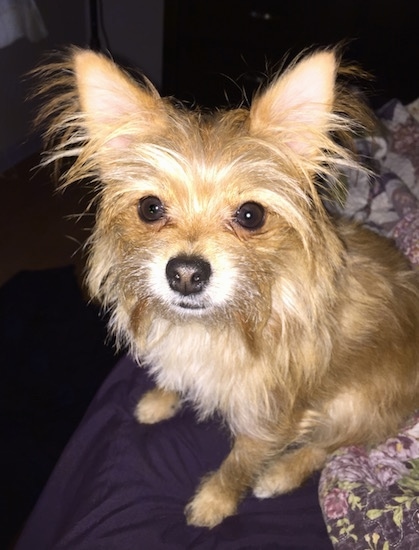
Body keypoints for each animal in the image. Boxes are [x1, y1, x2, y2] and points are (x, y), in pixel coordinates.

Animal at [36, 48, 419, 532]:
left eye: (251, 214)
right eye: (150, 208)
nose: (185, 273)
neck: (215, 325)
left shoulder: (270, 419)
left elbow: (239, 464)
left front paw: (214, 502)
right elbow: (174, 374)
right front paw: (161, 398)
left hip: (356, 406)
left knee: (330, 446)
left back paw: (281, 474)